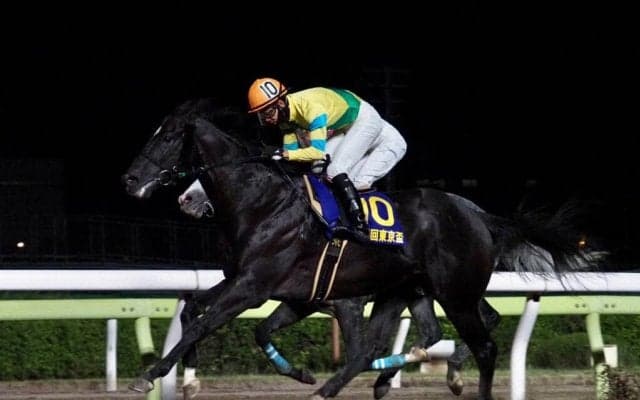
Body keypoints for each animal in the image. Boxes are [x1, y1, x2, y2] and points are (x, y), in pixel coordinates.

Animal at [122, 98, 597, 400]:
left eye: (167, 139)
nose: (130, 179)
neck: (262, 203)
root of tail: (479, 215)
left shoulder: (254, 287)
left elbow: (203, 323)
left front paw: (149, 376)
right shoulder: (277, 289)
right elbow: (197, 313)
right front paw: (191, 378)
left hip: (456, 293)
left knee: (484, 345)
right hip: (408, 290)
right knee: (397, 344)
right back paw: (362, 382)